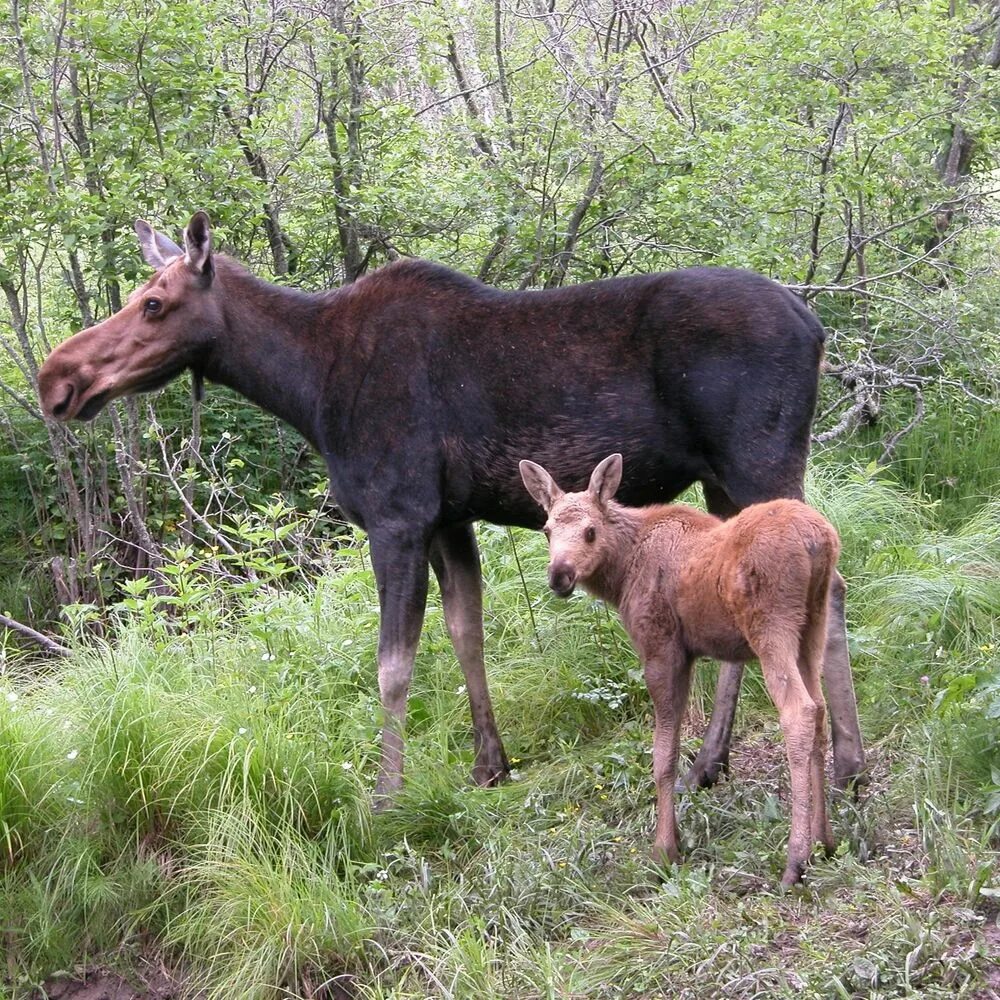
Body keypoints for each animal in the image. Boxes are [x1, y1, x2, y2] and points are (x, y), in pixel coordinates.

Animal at [37, 213, 868, 804]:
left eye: (154, 303)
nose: (55, 379)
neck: (304, 387)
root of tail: (818, 328)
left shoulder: (397, 515)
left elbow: (392, 667)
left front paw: (387, 796)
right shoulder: (448, 517)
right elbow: (467, 634)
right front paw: (489, 764)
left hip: (761, 460)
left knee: (830, 587)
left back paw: (848, 764)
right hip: (725, 479)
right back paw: (710, 761)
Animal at [520, 454, 840, 884]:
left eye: (590, 531)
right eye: (547, 530)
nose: (559, 576)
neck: (621, 573)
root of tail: (817, 542)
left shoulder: (661, 647)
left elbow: (663, 755)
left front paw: (664, 850)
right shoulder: (688, 653)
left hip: (772, 626)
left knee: (800, 711)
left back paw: (796, 859)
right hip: (813, 625)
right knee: (820, 708)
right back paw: (825, 840)